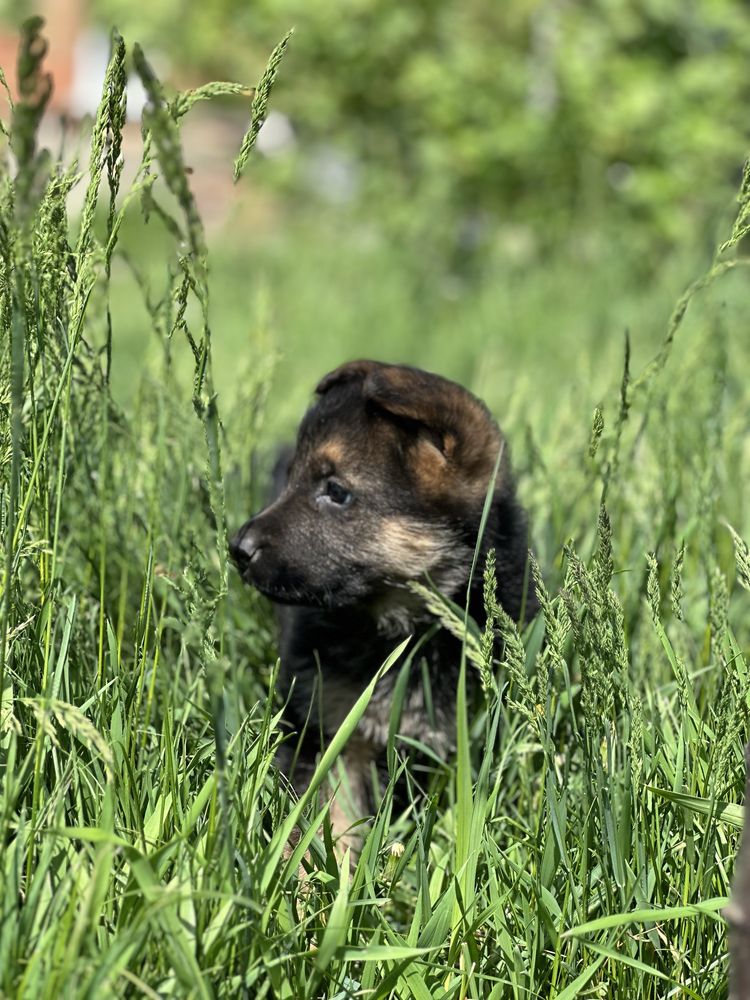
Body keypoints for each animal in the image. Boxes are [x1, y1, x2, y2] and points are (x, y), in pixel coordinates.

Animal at [232, 360, 536, 844]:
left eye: (336, 491)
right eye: (292, 478)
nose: (237, 549)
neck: (402, 633)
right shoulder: (332, 732)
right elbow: (327, 818)